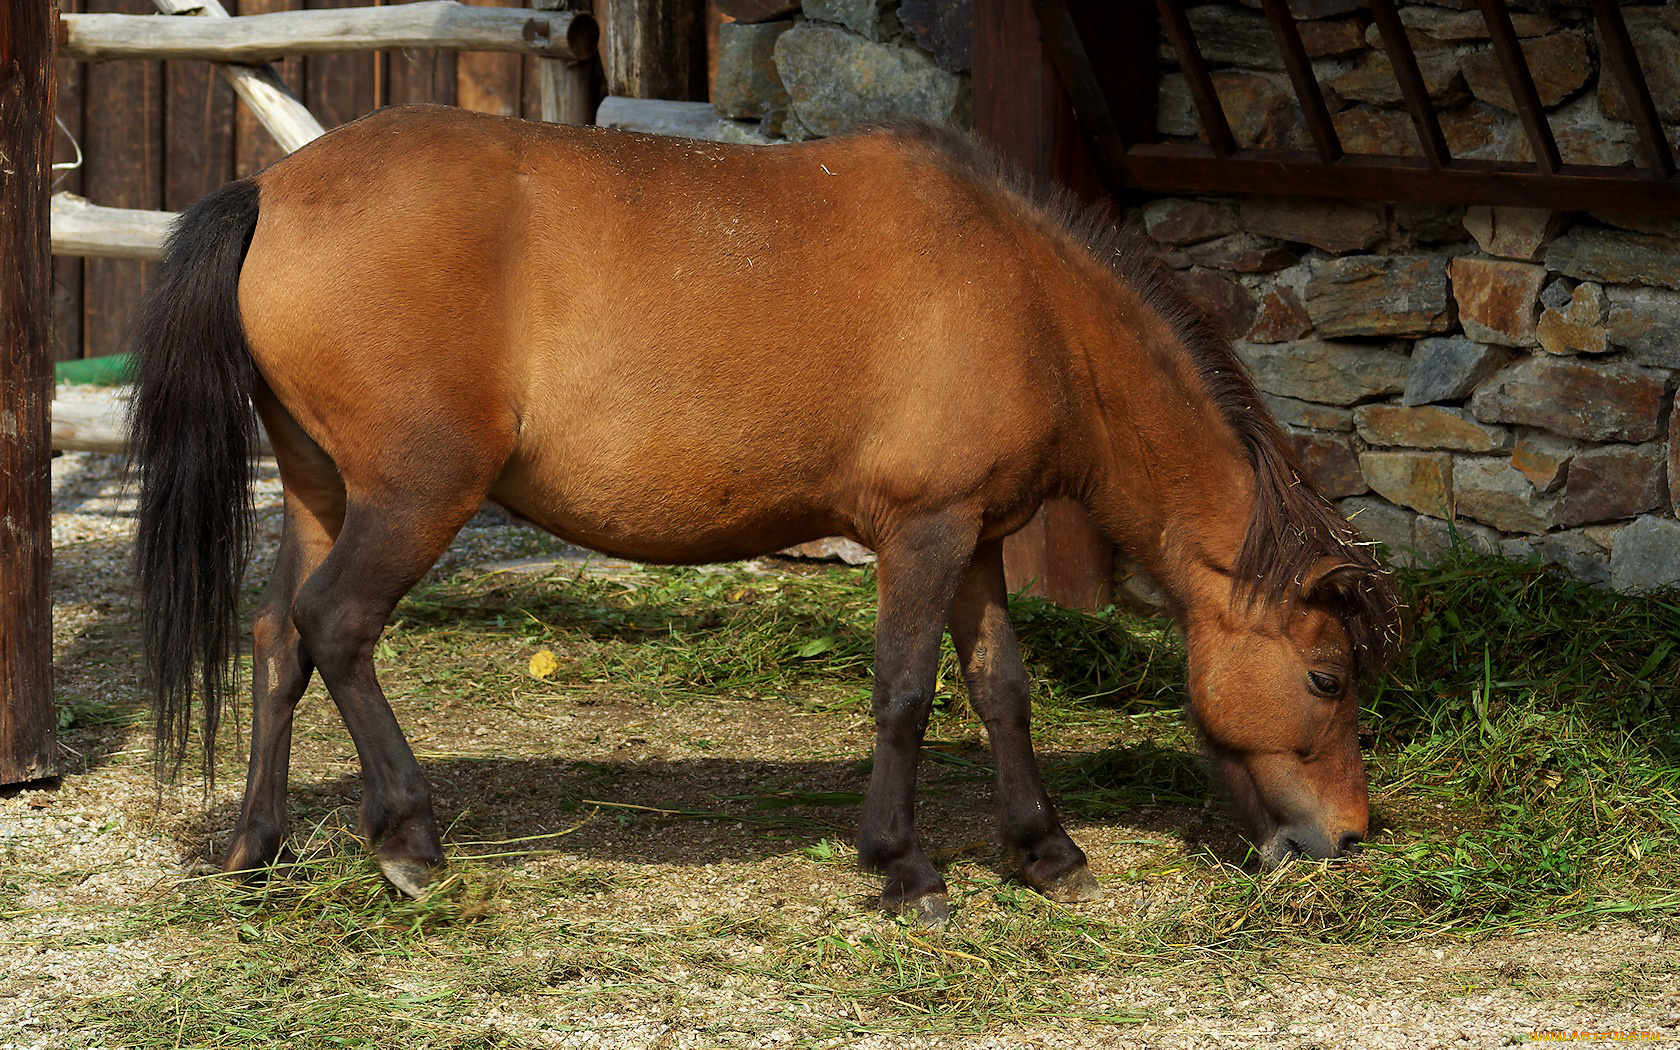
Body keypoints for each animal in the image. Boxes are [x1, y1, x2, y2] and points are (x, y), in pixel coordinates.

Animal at [127, 104, 1404, 913]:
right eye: (1326, 677)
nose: (1346, 837)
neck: (1027, 293)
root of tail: (274, 187)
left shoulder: (976, 539)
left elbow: (1002, 689)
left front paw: (1046, 851)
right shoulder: (923, 534)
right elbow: (905, 695)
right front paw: (905, 868)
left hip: (321, 489)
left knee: (279, 640)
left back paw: (256, 845)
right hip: (415, 496)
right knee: (338, 628)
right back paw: (409, 840)